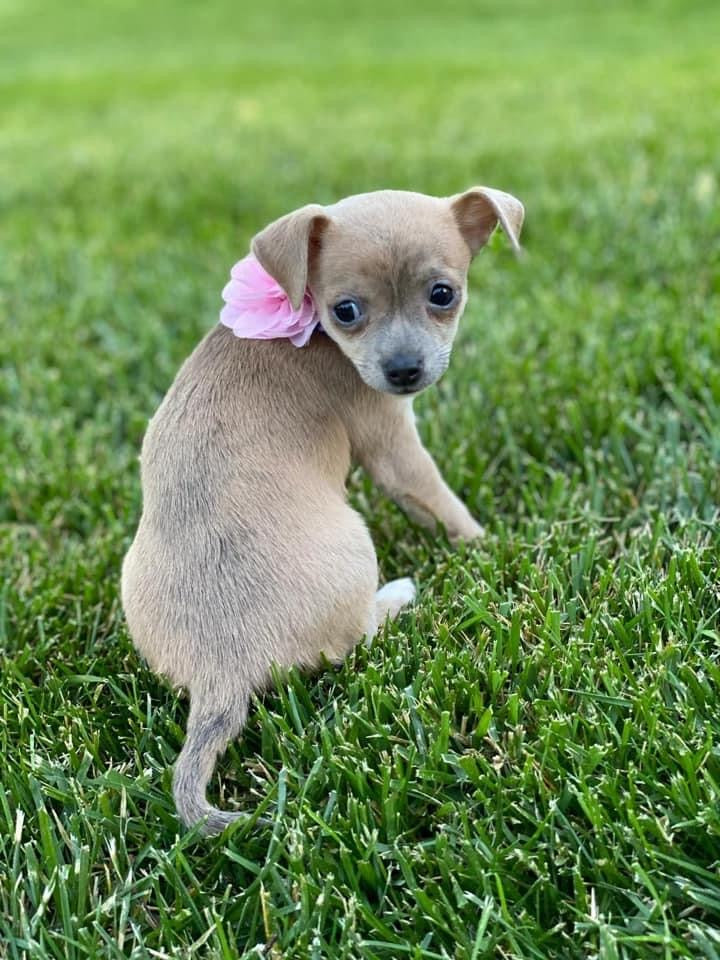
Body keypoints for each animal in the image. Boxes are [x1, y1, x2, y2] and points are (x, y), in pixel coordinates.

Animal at [122, 186, 524, 832]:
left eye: (443, 295)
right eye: (346, 311)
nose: (404, 370)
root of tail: (220, 675)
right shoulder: (393, 446)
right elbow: (442, 502)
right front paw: (487, 544)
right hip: (357, 548)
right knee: (357, 637)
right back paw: (399, 595)